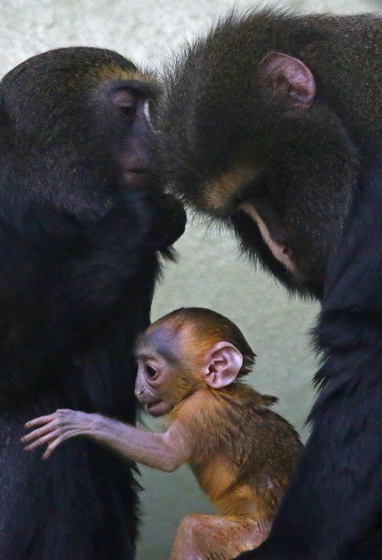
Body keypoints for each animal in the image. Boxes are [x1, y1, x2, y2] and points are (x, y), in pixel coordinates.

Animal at [22, 308, 302, 560]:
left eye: (150, 372)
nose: (137, 391)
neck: (209, 389)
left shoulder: (201, 409)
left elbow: (168, 454)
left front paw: (83, 423)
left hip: (250, 539)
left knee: (193, 529)